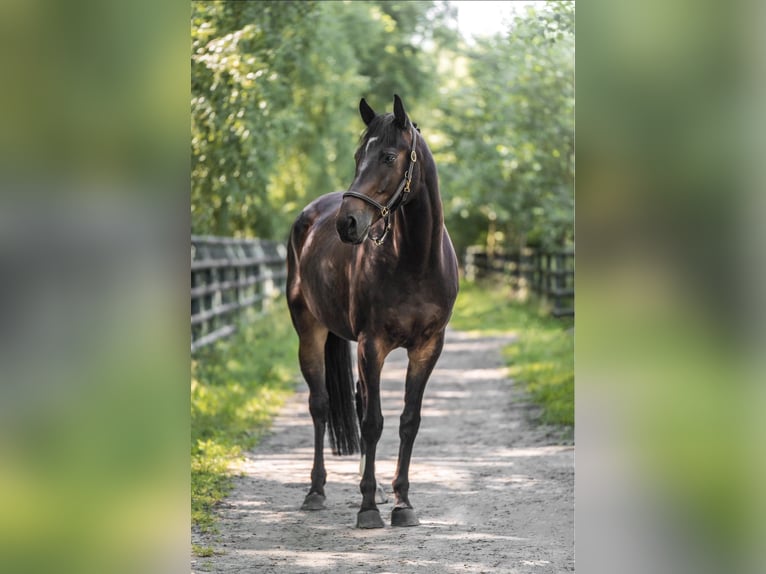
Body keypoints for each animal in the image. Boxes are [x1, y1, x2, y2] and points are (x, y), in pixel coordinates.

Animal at [286, 94, 459, 529]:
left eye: (388, 156)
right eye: (356, 155)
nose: (348, 223)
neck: (415, 262)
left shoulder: (428, 348)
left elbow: (408, 421)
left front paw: (401, 502)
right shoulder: (372, 345)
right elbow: (372, 422)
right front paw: (367, 509)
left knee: (359, 398)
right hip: (309, 331)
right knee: (320, 405)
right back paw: (316, 491)